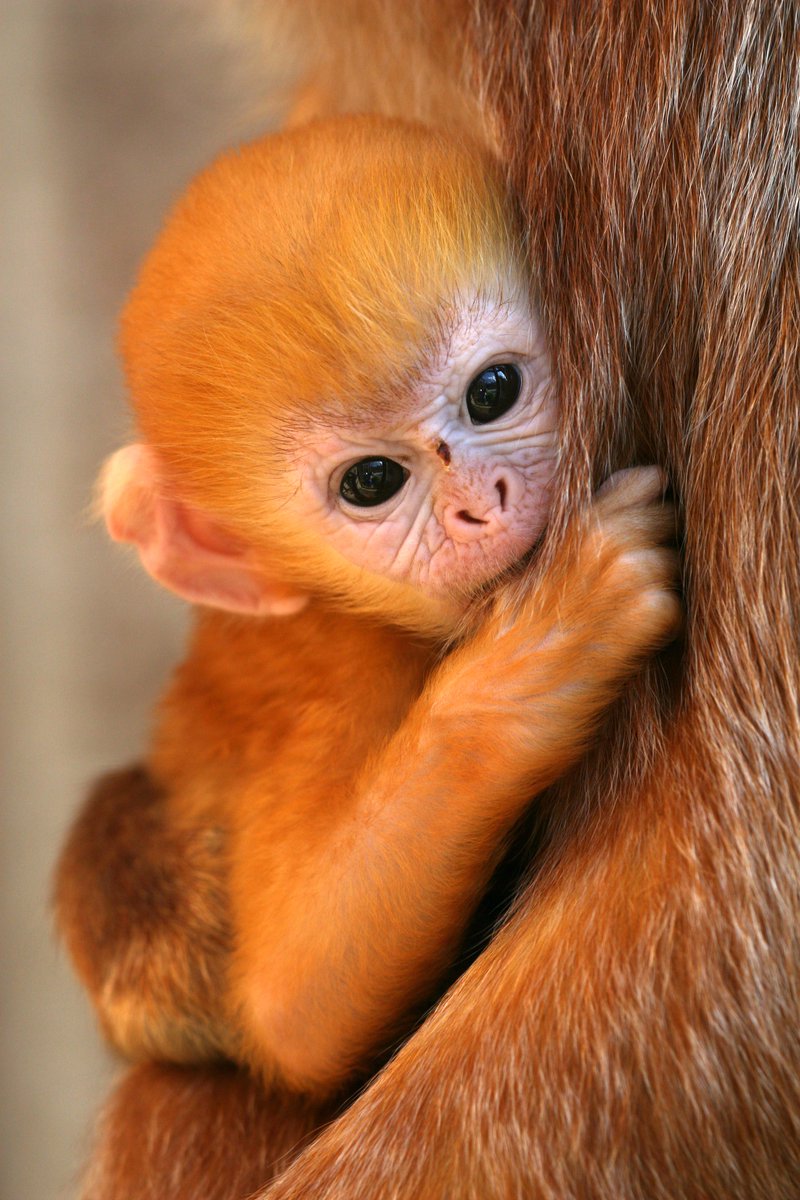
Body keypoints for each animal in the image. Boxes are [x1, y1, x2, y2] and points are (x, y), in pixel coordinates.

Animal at [58, 0, 800, 1191]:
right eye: (372, 483)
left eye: (493, 390)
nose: (479, 506)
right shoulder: (341, 682)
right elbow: (296, 993)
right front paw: (532, 665)